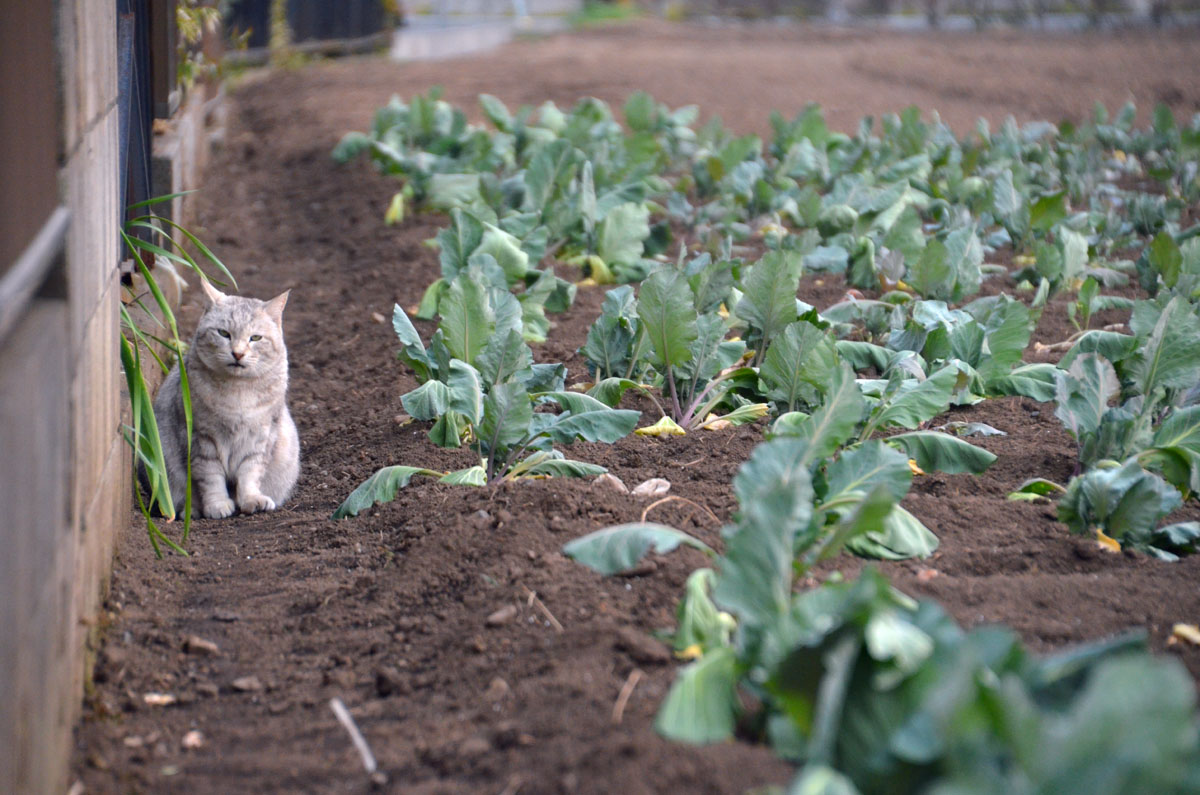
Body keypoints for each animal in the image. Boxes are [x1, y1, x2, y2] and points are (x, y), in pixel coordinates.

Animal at [153, 277, 300, 521]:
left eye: (255, 338)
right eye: (223, 333)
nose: (238, 353)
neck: (238, 391)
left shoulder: (261, 438)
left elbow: (250, 473)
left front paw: (251, 500)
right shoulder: (202, 439)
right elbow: (211, 477)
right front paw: (217, 505)